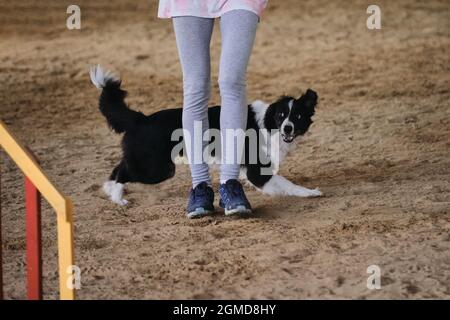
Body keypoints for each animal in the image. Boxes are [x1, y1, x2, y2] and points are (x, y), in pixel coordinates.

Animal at [89, 65, 320, 205]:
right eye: (282, 116)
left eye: (298, 116)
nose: (288, 128)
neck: (267, 123)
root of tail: (142, 119)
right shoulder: (258, 171)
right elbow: (287, 184)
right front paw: (311, 192)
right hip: (159, 168)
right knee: (123, 172)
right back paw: (118, 198)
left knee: (119, 167)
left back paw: (111, 192)